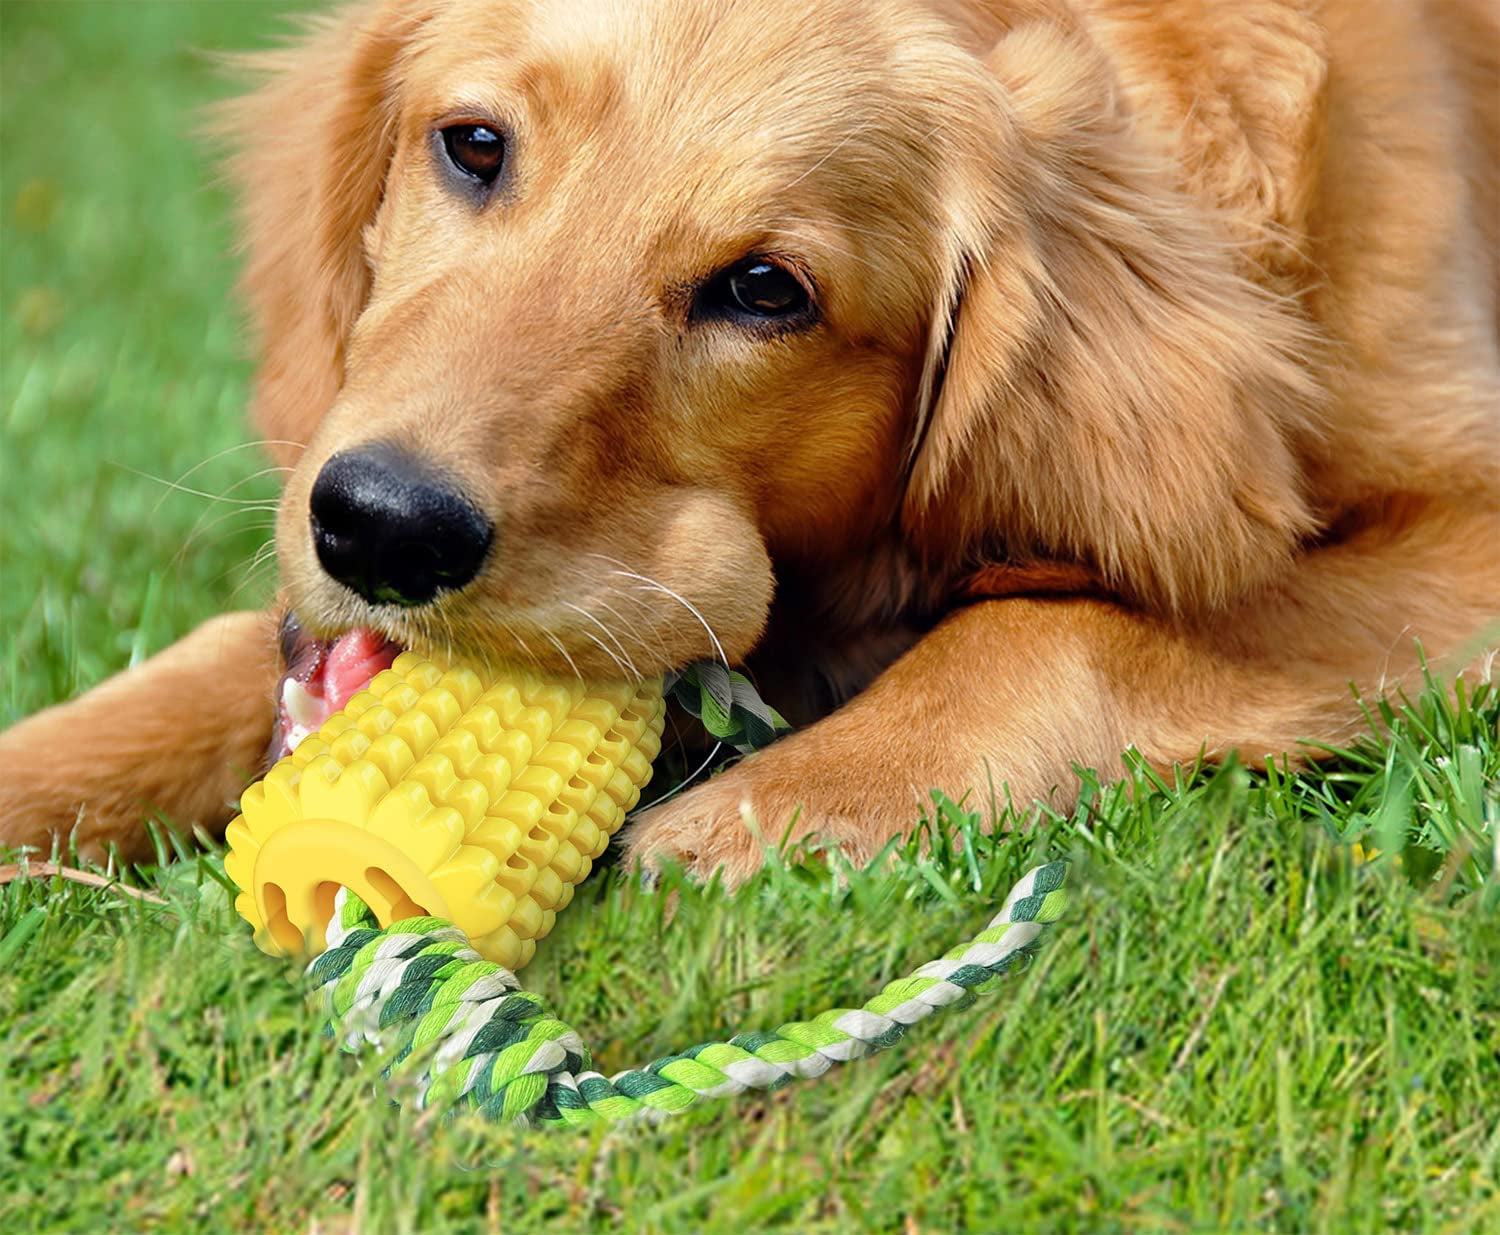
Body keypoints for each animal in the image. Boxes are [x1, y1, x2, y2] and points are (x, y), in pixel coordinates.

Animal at [2, 0, 1500, 888]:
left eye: (765, 289)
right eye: (474, 145)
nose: (381, 525)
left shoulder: (1462, 514)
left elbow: (1058, 622)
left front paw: (787, 803)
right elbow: (204, 665)